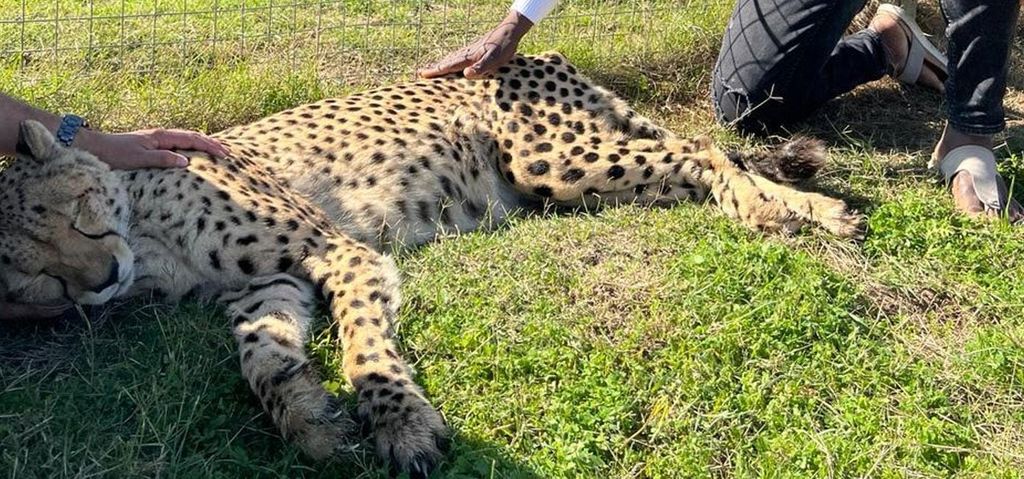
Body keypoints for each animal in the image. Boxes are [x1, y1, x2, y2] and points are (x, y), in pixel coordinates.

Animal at [0, 52, 862, 476]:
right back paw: (807, 210)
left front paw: (402, 423)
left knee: (703, 151)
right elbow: (262, 360)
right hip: (571, 177)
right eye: (32, 274)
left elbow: (363, 347)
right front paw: (309, 419)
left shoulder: (338, 248)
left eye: (71, 211)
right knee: (690, 162)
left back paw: (784, 212)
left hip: (550, 158)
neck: (146, 235)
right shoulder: (264, 286)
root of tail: (539, 51)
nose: (99, 280)